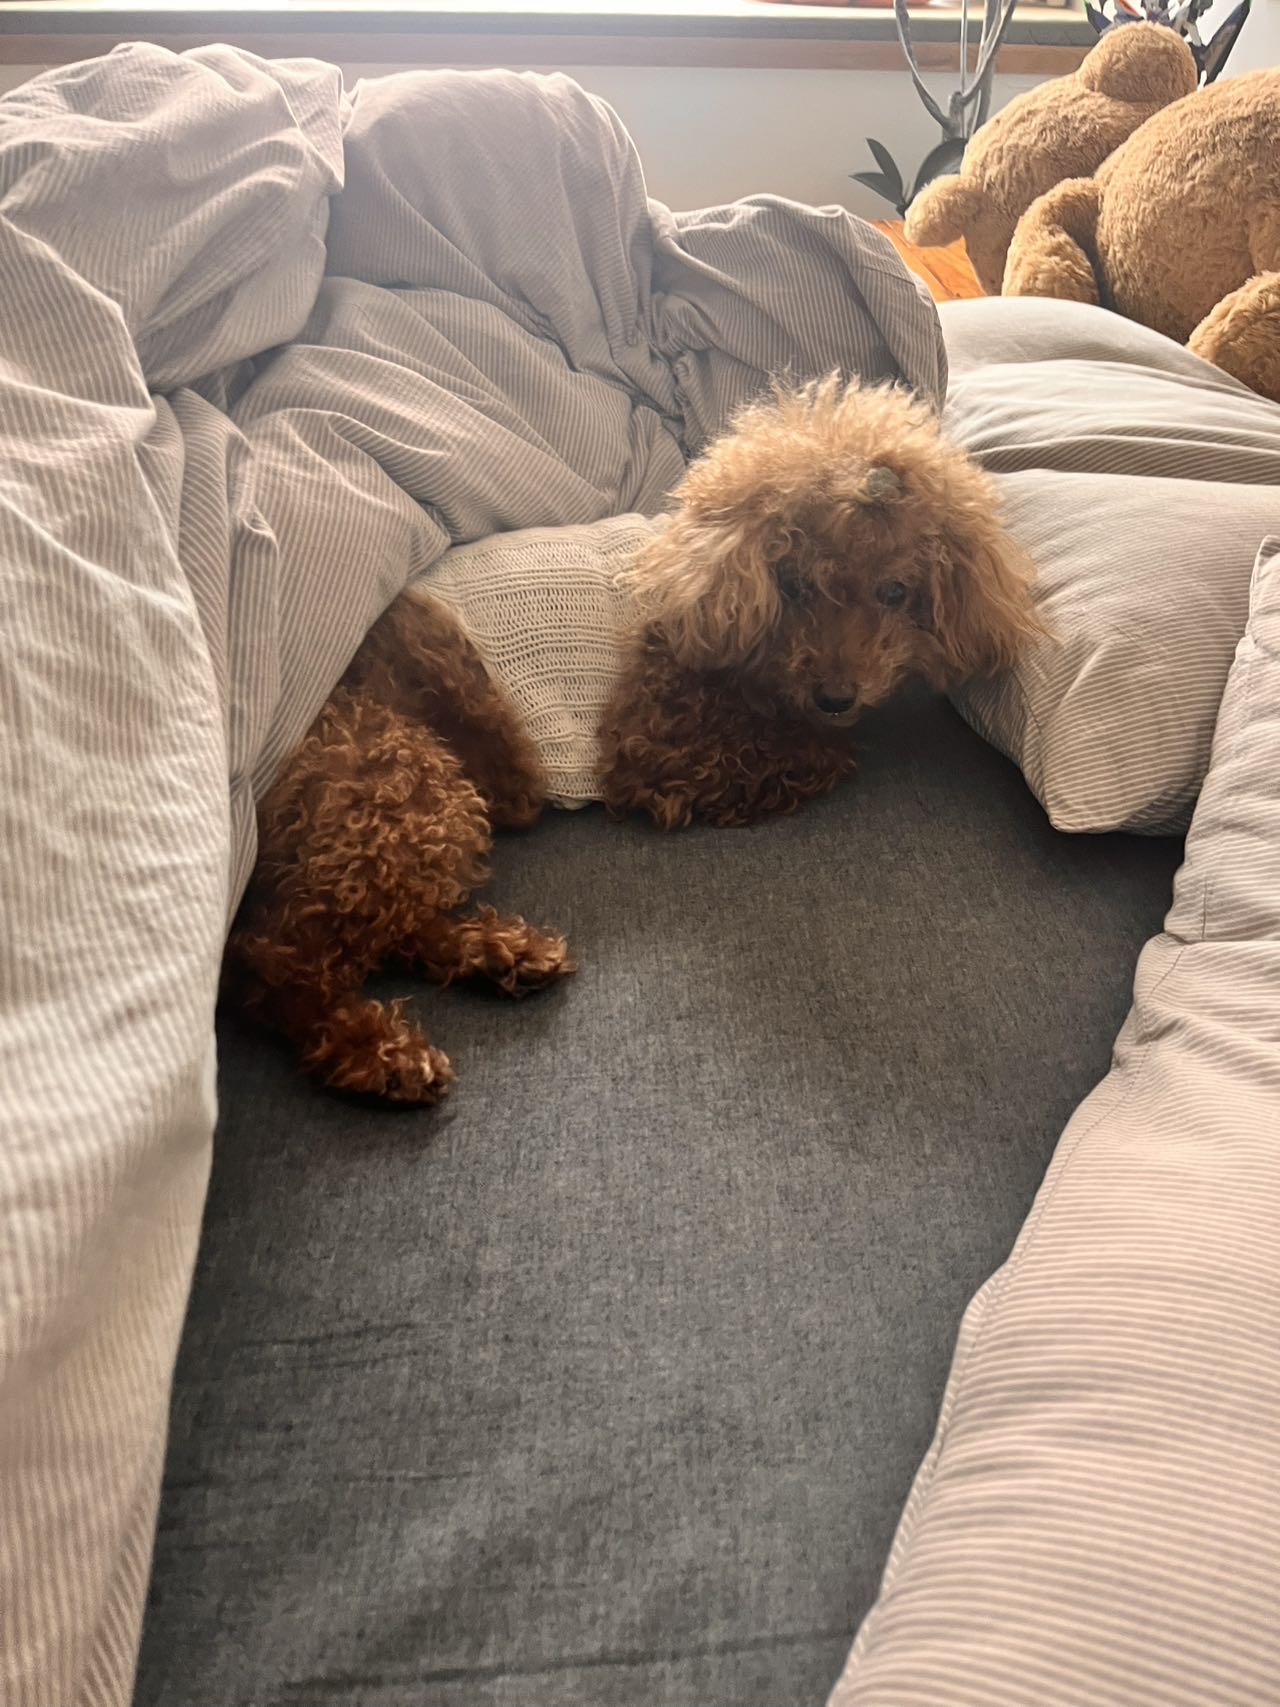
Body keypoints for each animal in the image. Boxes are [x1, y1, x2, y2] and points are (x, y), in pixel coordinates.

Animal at [227, 377, 1040, 1104]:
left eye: (896, 593)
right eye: (798, 584)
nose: (837, 694)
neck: (708, 594)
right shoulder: (655, 747)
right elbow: (806, 756)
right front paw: (816, 744)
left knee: (384, 926)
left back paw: (500, 954)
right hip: (399, 779)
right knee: (278, 962)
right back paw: (380, 1052)